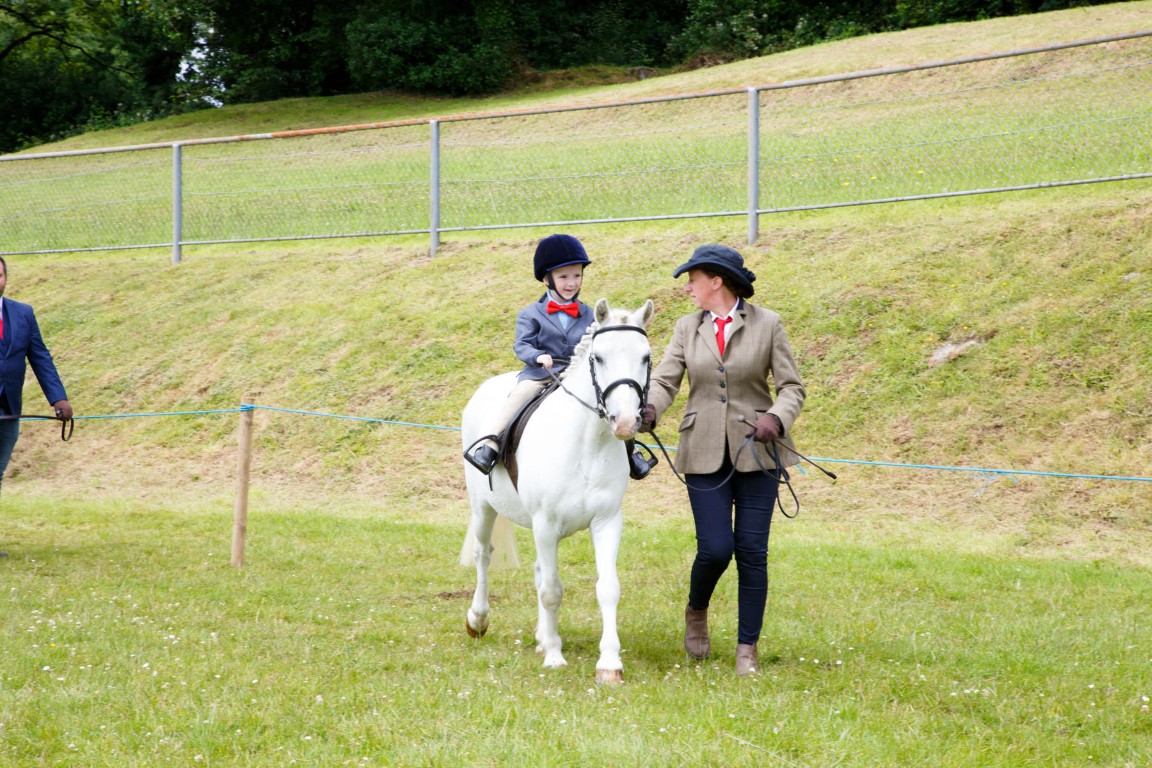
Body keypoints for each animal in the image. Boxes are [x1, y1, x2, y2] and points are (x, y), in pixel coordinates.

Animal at [459, 298, 654, 685]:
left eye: (645, 357)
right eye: (599, 358)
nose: (626, 423)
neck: (587, 442)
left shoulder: (606, 522)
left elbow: (607, 588)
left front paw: (609, 664)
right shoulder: (546, 523)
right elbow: (551, 591)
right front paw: (553, 656)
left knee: (537, 569)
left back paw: (539, 636)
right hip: (483, 507)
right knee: (483, 555)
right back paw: (479, 620)